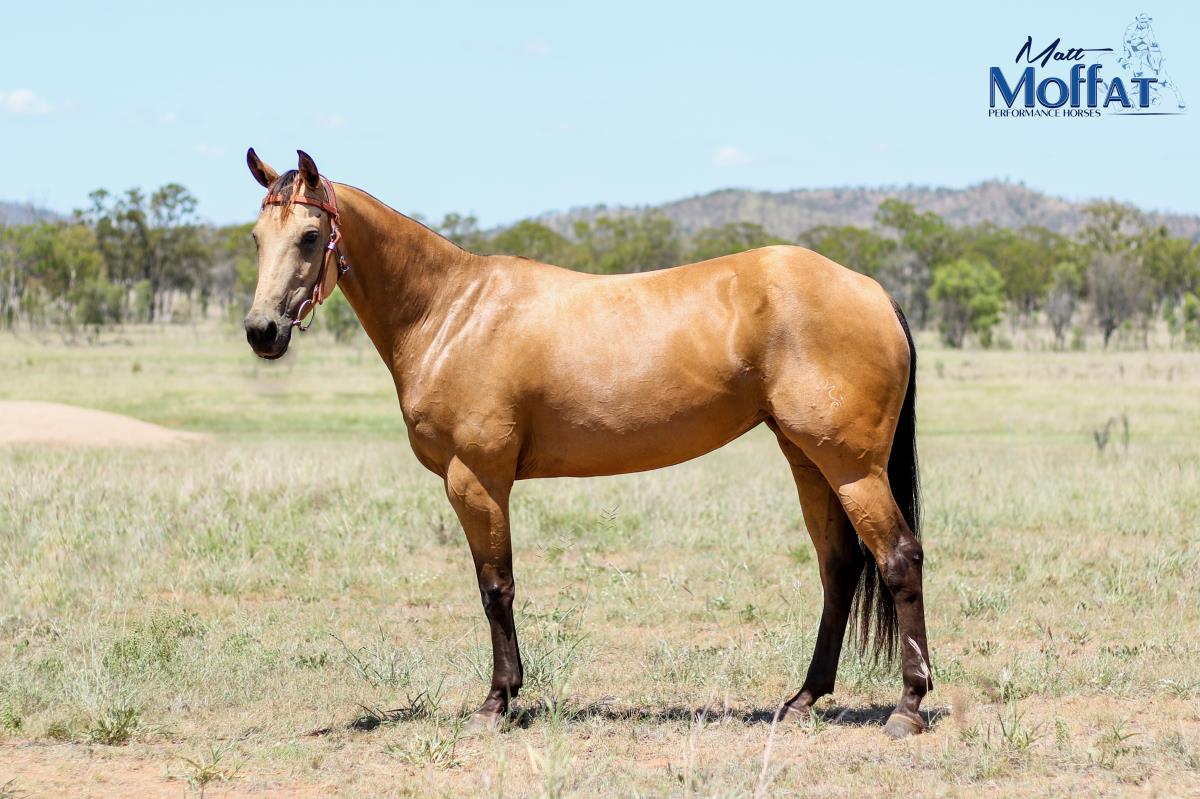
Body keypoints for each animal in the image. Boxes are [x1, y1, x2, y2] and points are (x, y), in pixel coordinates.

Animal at [242, 149, 930, 738]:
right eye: (256, 238)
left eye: (310, 237)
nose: (261, 331)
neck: (450, 312)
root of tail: (871, 290)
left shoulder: (476, 479)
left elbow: (496, 587)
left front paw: (497, 702)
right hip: (809, 461)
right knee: (838, 568)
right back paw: (803, 699)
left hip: (853, 468)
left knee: (899, 558)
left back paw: (908, 707)